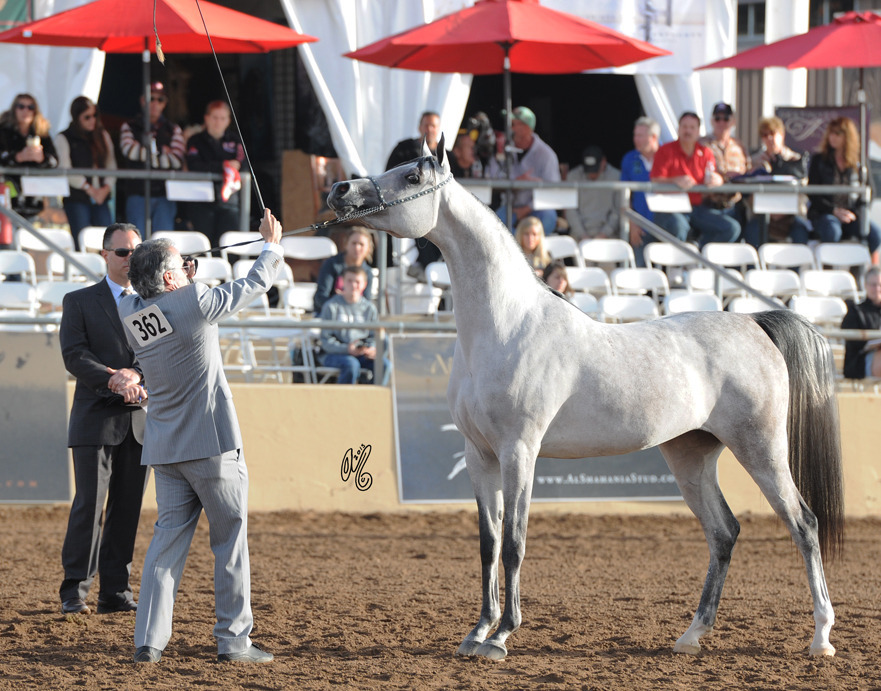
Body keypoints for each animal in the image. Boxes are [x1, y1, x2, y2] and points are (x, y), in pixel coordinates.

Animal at [326, 137, 843, 660]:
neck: (507, 325)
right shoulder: (479, 455)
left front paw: (502, 636)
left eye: (412, 176)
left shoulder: (519, 451)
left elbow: (513, 543)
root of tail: (754, 321)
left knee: (804, 524)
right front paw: (477, 632)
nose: (340, 190)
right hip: (690, 456)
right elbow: (488, 543)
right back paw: (691, 635)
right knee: (724, 532)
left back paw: (821, 637)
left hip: (761, 449)